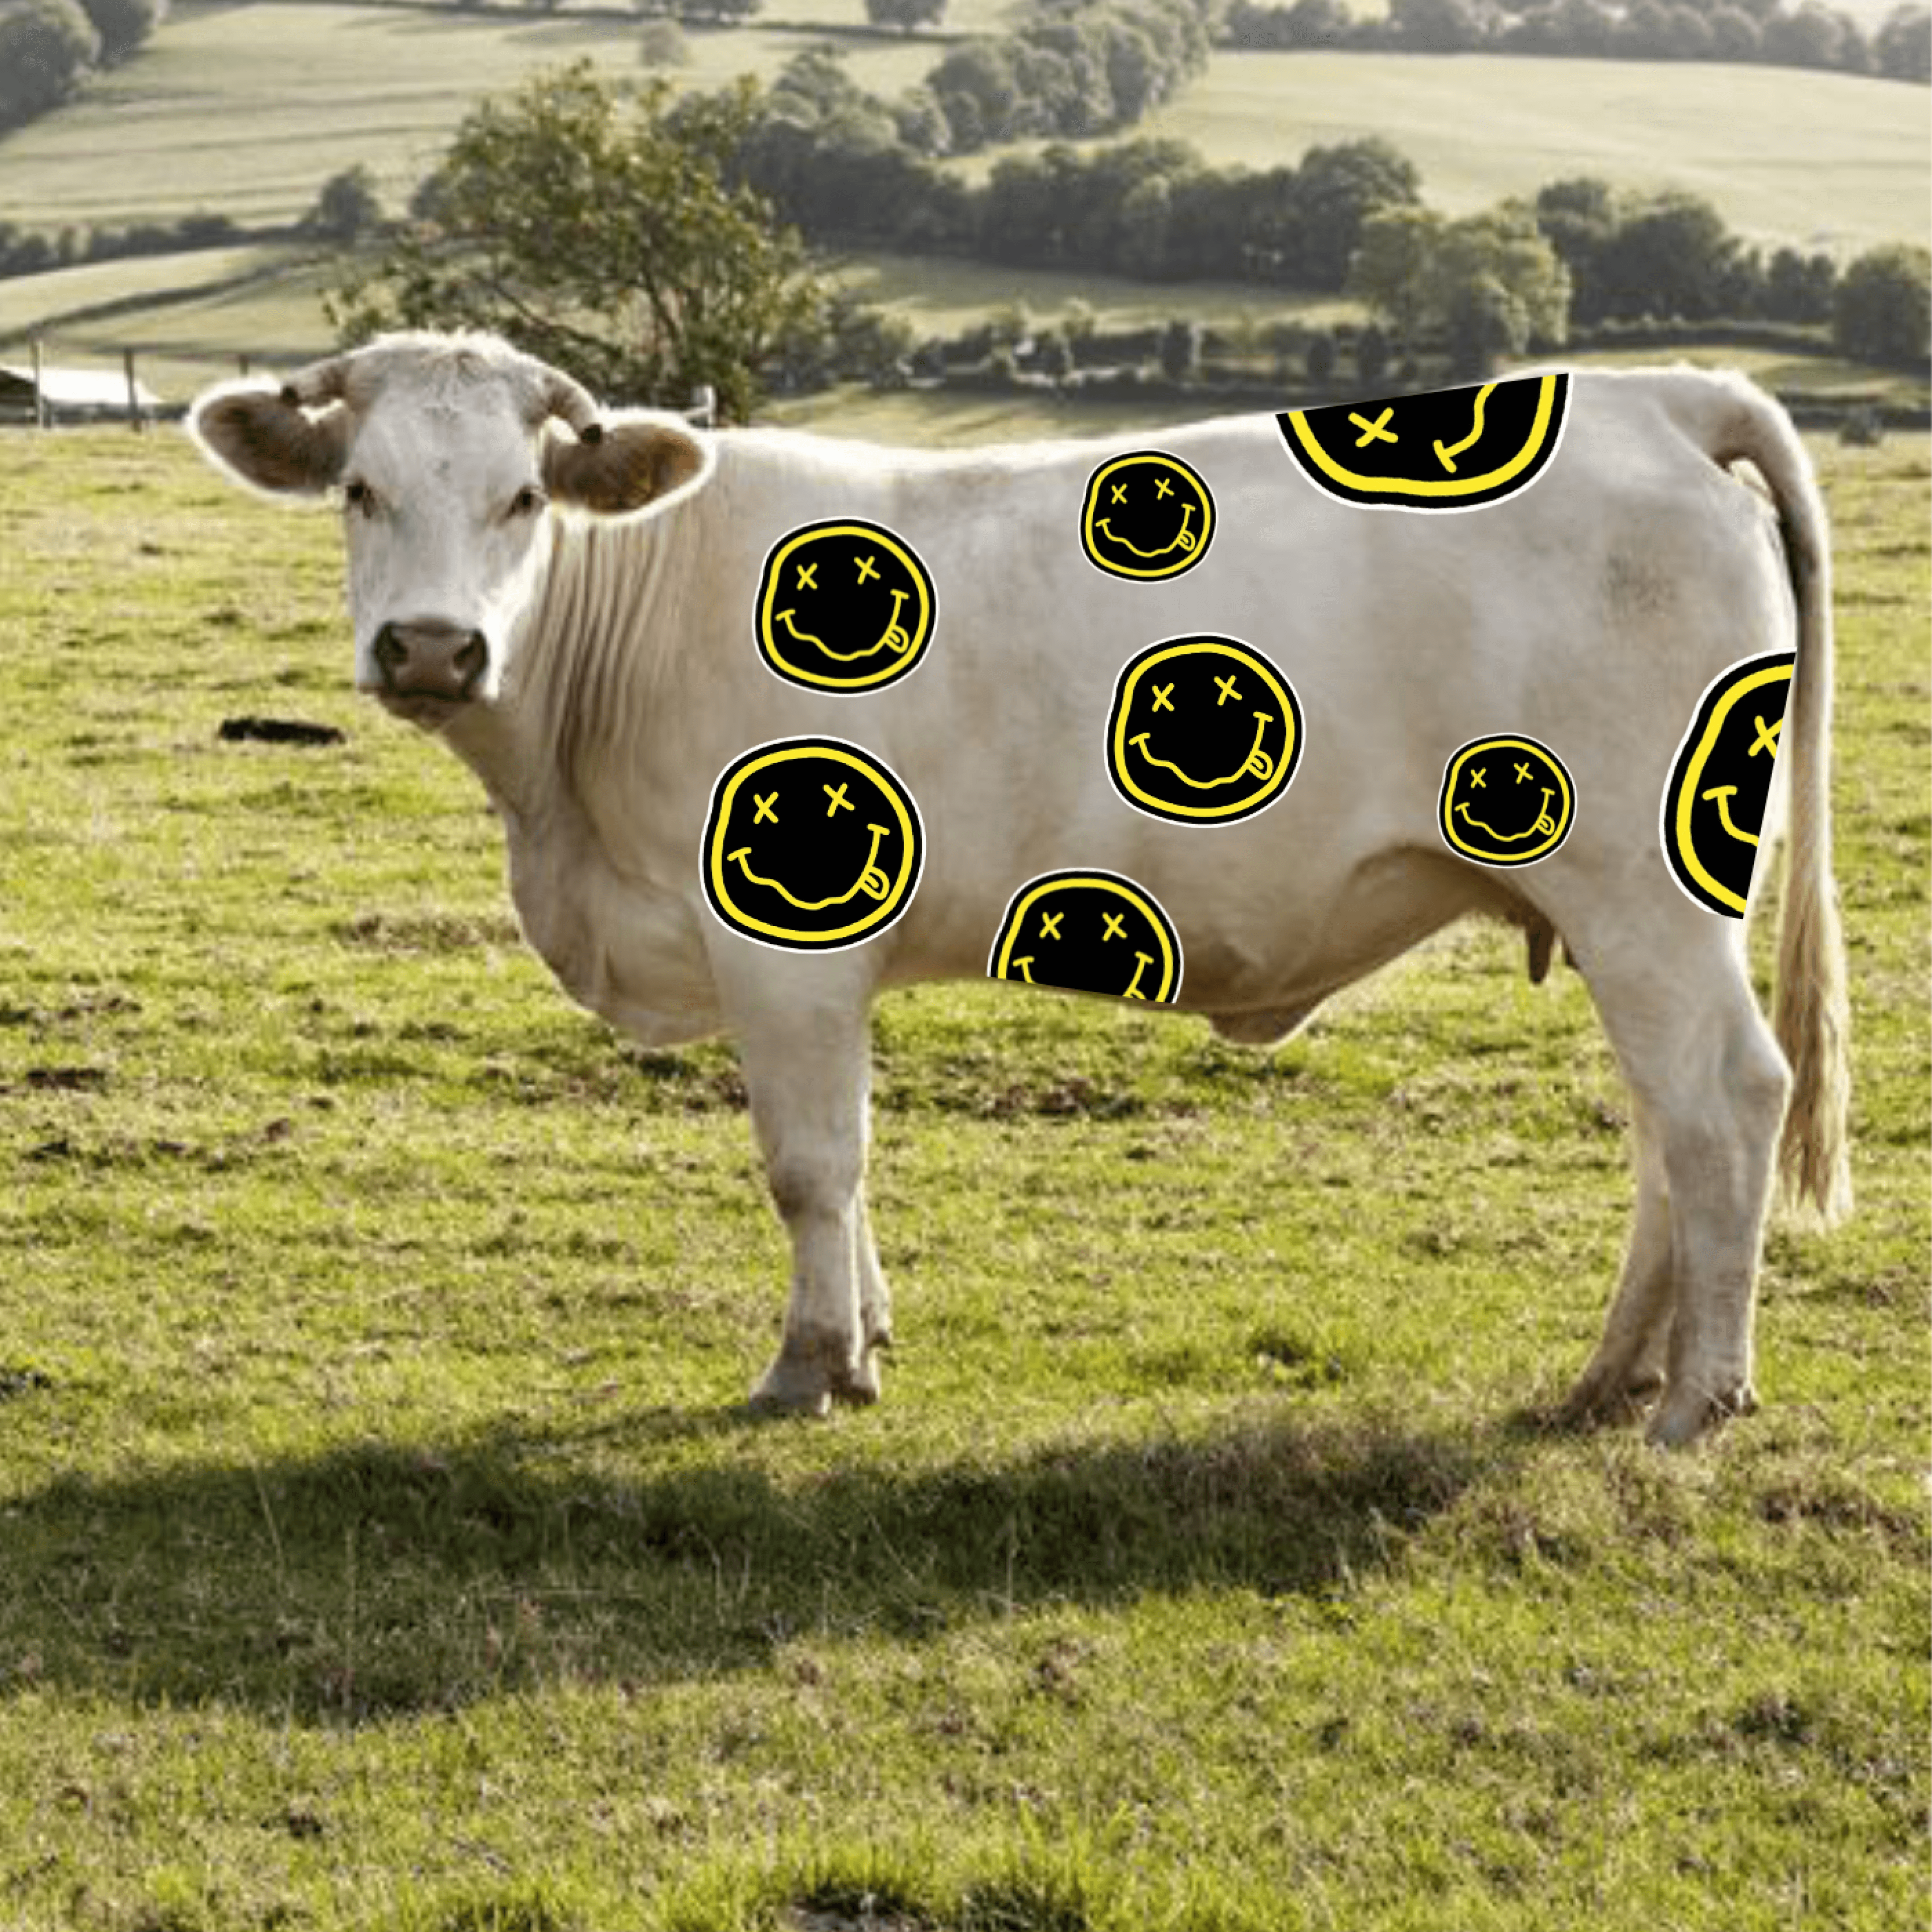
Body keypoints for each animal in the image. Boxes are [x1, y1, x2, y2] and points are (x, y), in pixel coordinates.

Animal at [188, 331, 1850, 1447]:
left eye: (526, 499)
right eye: (358, 488)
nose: (430, 647)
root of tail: (1657, 390)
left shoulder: (778, 947)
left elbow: (810, 1164)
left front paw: (806, 1366)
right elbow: (848, 1168)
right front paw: (864, 1342)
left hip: (1637, 886)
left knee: (1724, 1101)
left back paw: (1695, 1399)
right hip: (1631, 908)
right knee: (1665, 1123)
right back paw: (1611, 1375)